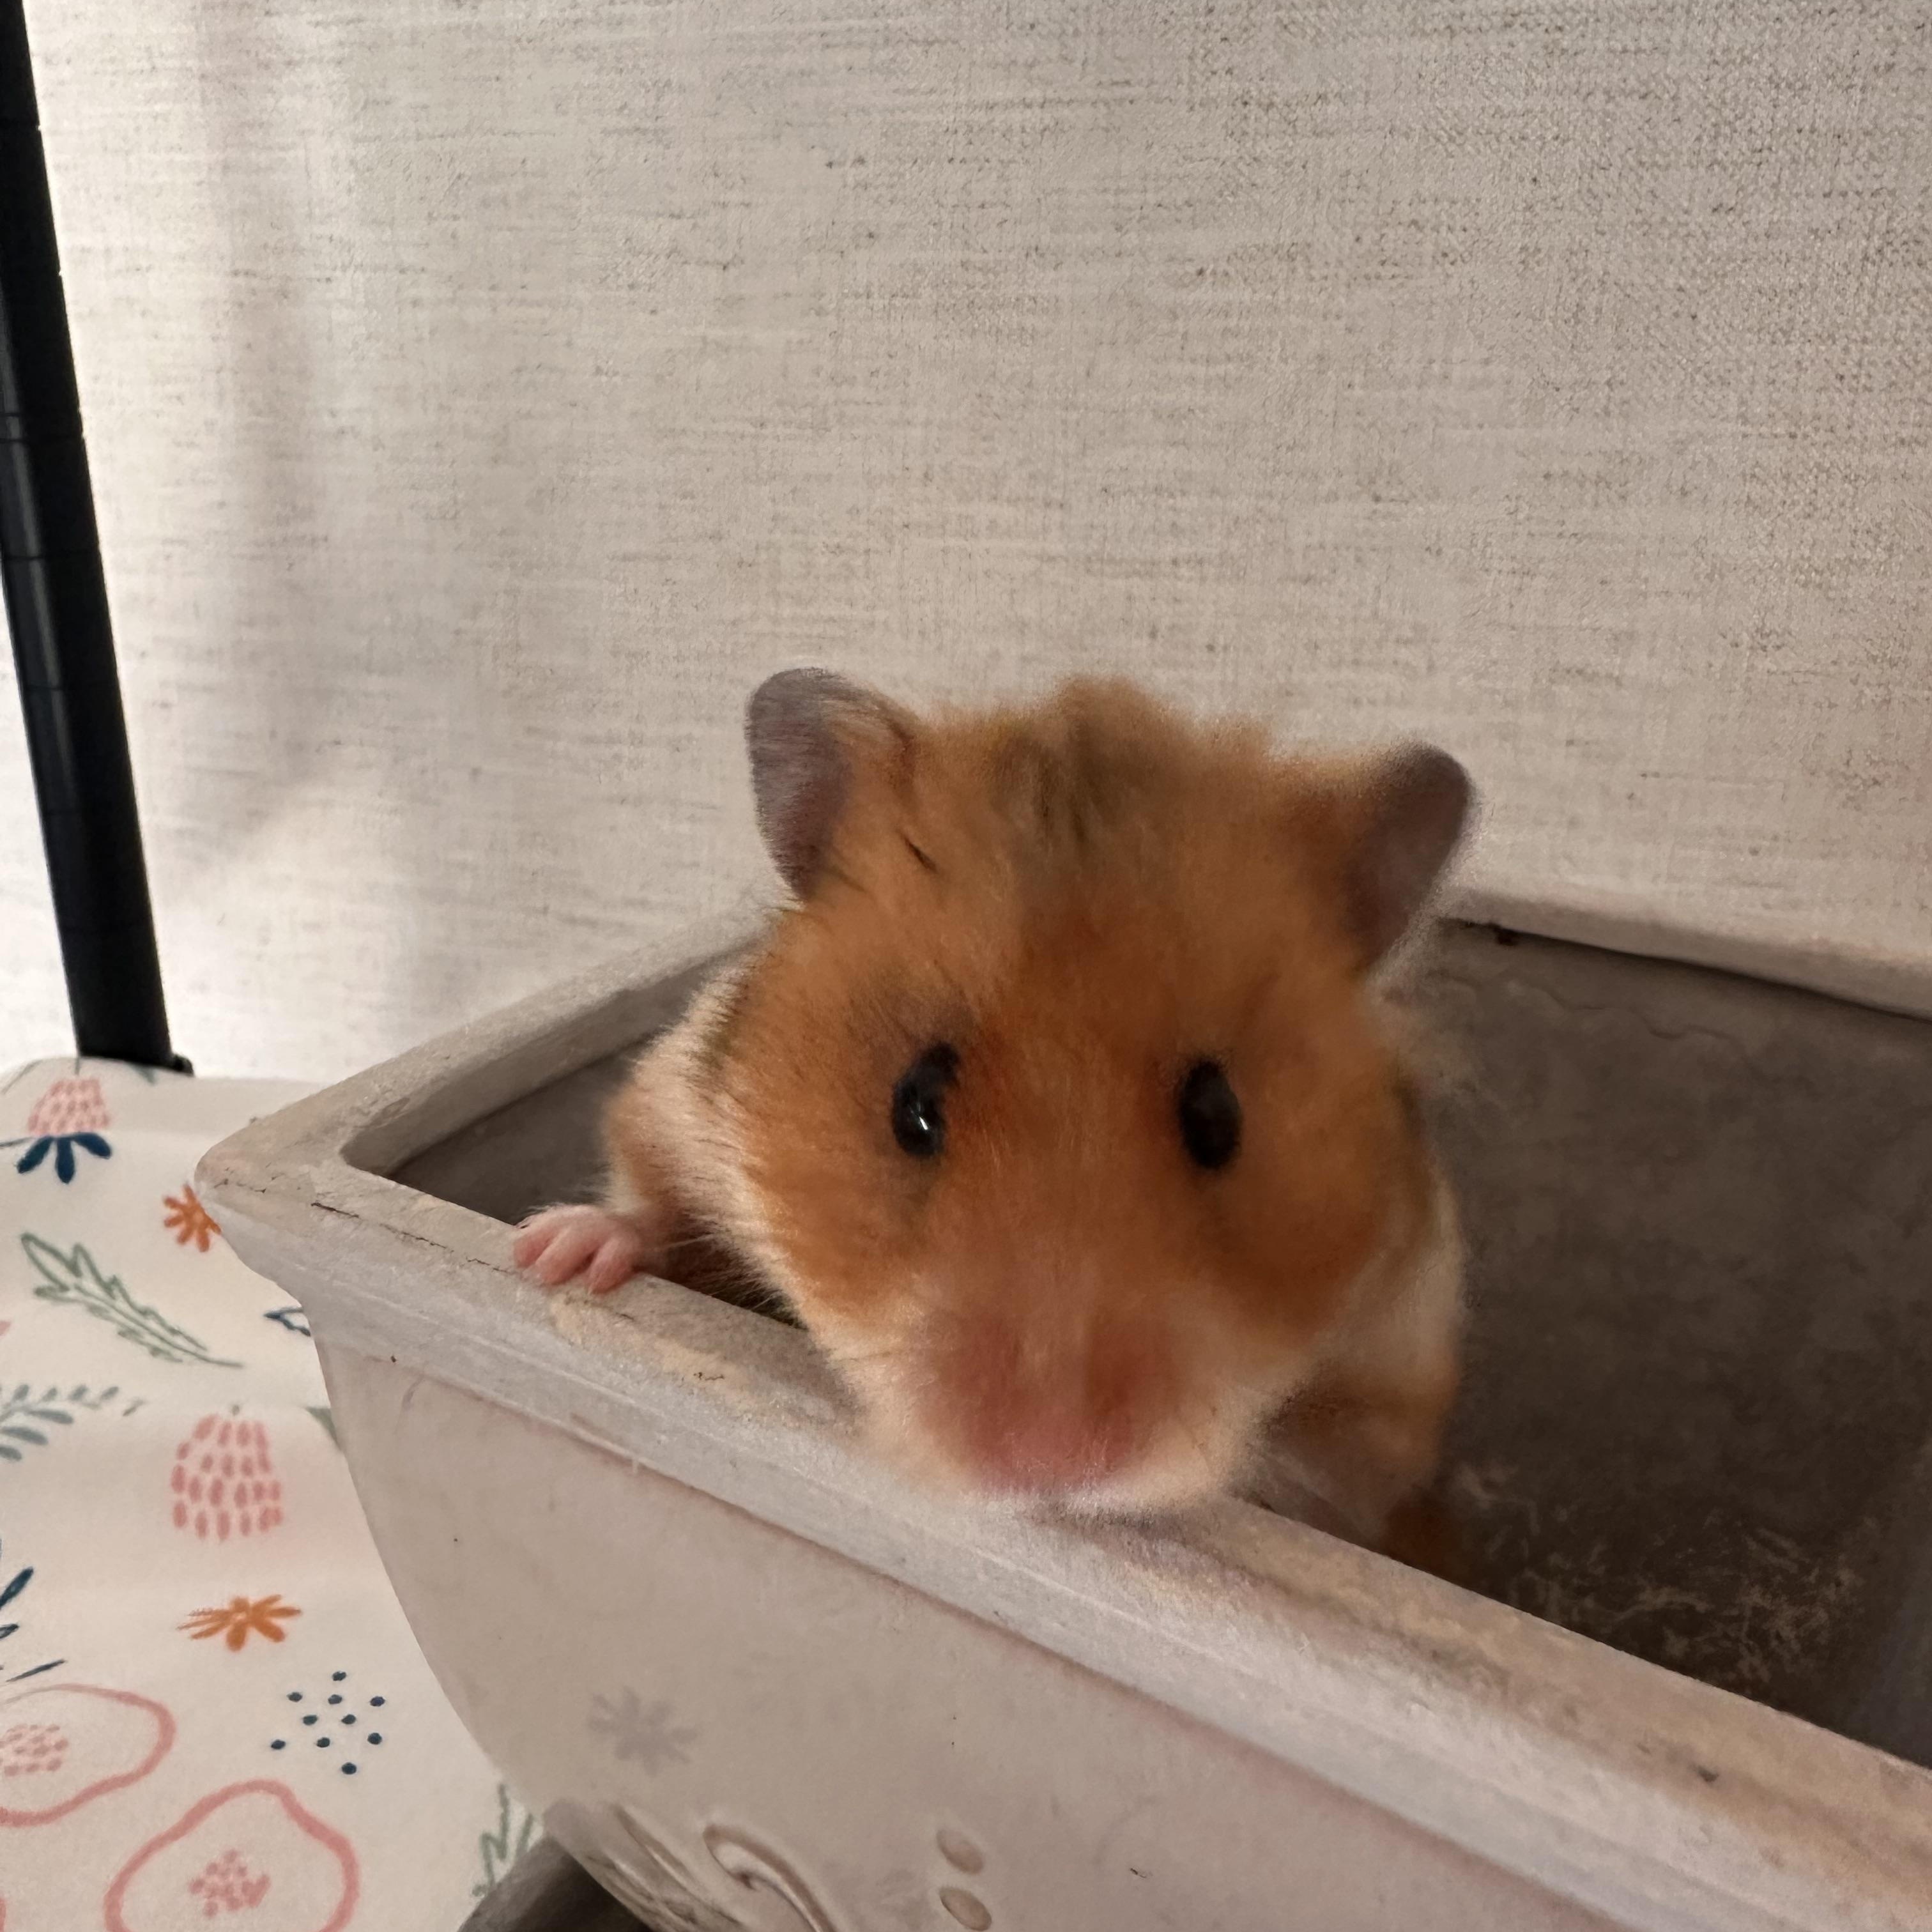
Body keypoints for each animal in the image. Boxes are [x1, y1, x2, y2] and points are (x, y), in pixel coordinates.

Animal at [517, 670, 1473, 1555]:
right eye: (914, 1105)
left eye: (1219, 1118)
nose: (1052, 1460)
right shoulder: (667, 1103)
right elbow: (645, 1201)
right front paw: (552, 1254)